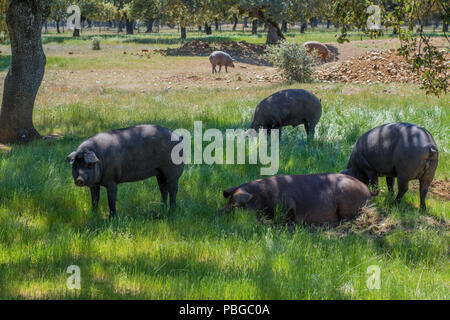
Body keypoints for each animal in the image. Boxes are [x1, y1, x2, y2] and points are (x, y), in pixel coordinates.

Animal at [222, 174, 372, 226]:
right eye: (228, 201)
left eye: (235, 204)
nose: (220, 212)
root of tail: (366, 190)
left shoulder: (288, 203)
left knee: (346, 218)